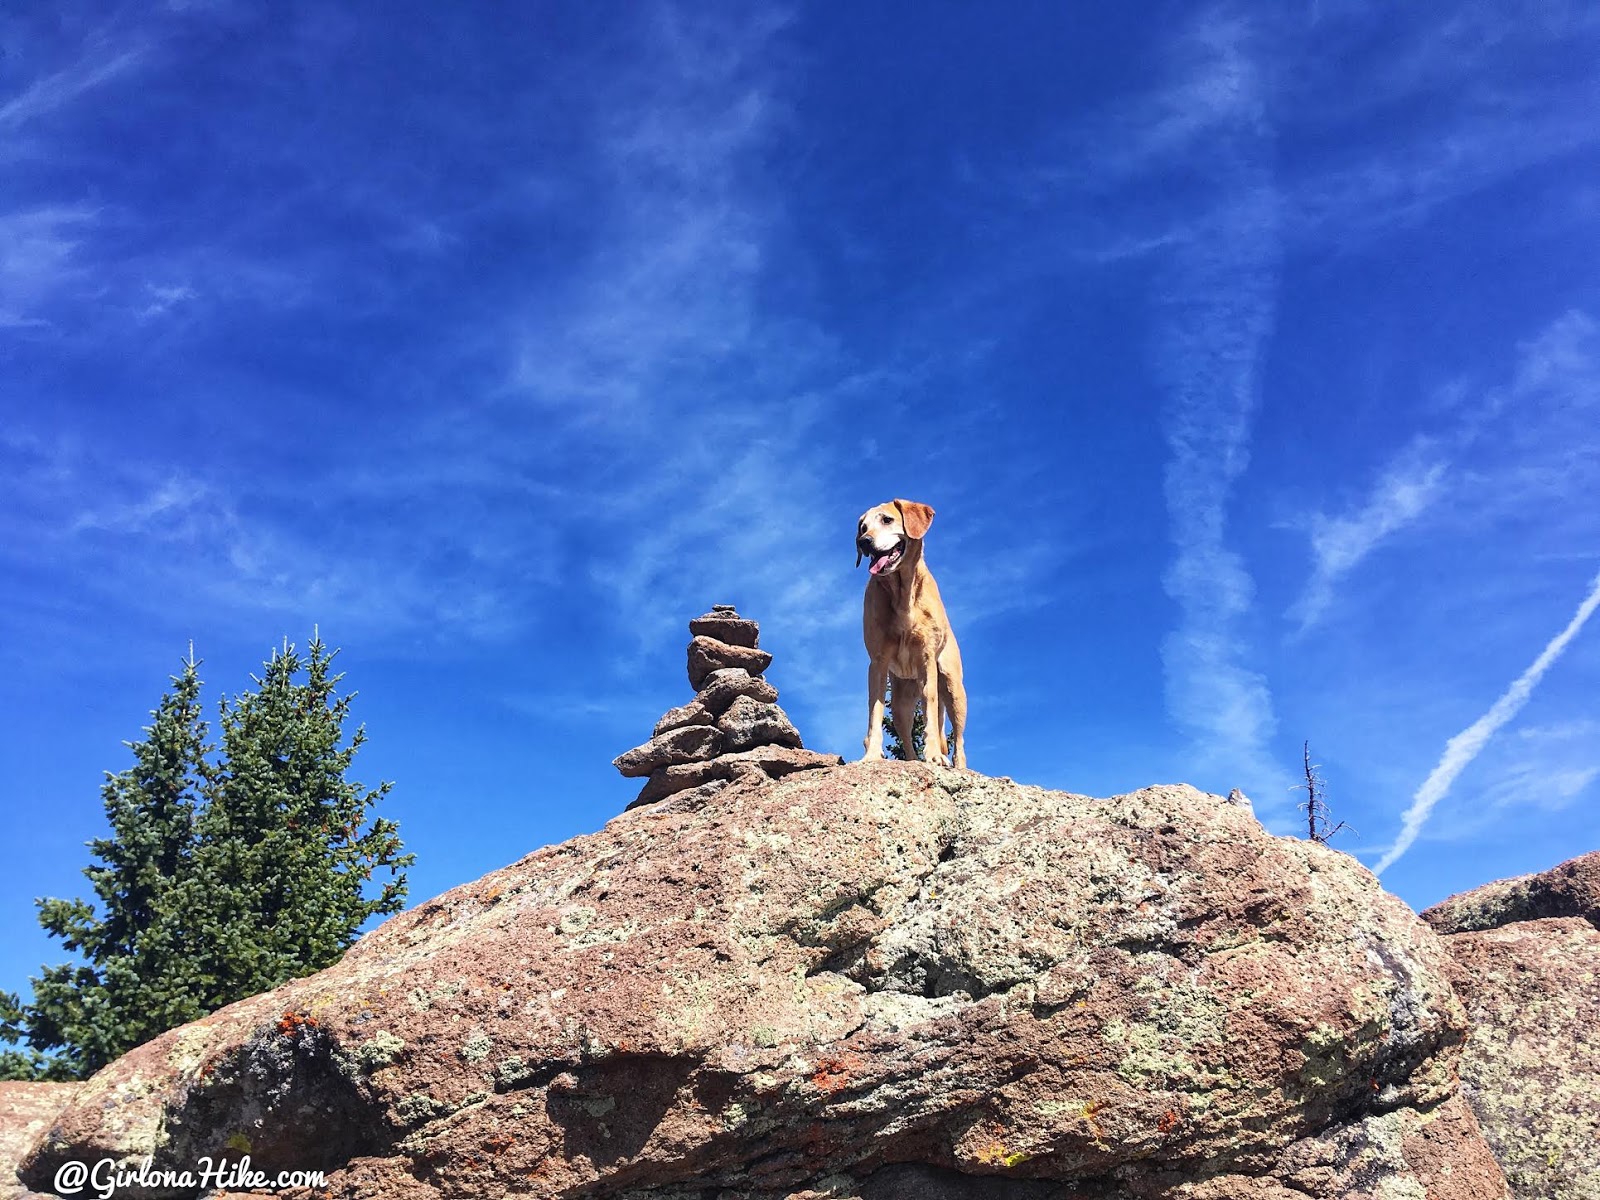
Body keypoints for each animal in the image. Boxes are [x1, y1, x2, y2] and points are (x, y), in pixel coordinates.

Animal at [857, 499, 966, 771]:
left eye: (887, 520)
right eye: (863, 527)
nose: (864, 541)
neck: (902, 590)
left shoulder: (927, 659)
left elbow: (930, 709)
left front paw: (935, 755)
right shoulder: (877, 663)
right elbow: (874, 711)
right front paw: (871, 755)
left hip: (954, 688)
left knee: (958, 738)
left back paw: (959, 766)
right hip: (900, 699)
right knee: (905, 733)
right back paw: (913, 759)